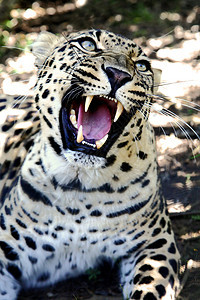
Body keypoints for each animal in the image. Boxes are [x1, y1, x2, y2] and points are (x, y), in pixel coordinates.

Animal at [0, 28, 180, 300]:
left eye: (141, 65)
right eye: (87, 44)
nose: (119, 74)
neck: (80, 186)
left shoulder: (155, 244)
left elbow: (151, 289)